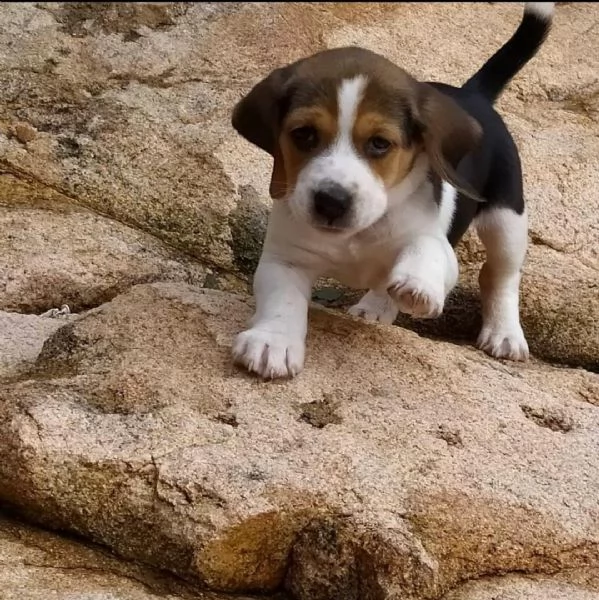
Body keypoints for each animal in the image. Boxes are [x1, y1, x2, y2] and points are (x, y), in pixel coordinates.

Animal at [229, 2, 552, 380]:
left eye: (380, 144)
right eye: (304, 135)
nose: (331, 202)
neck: (356, 235)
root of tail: (472, 94)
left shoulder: (437, 244)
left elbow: (424, 248)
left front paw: (417, 283)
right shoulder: (286, 259)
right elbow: (282, 301)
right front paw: (272, 342)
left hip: (508, 218)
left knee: (500, 276)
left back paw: (504, 333)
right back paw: (376, 306)